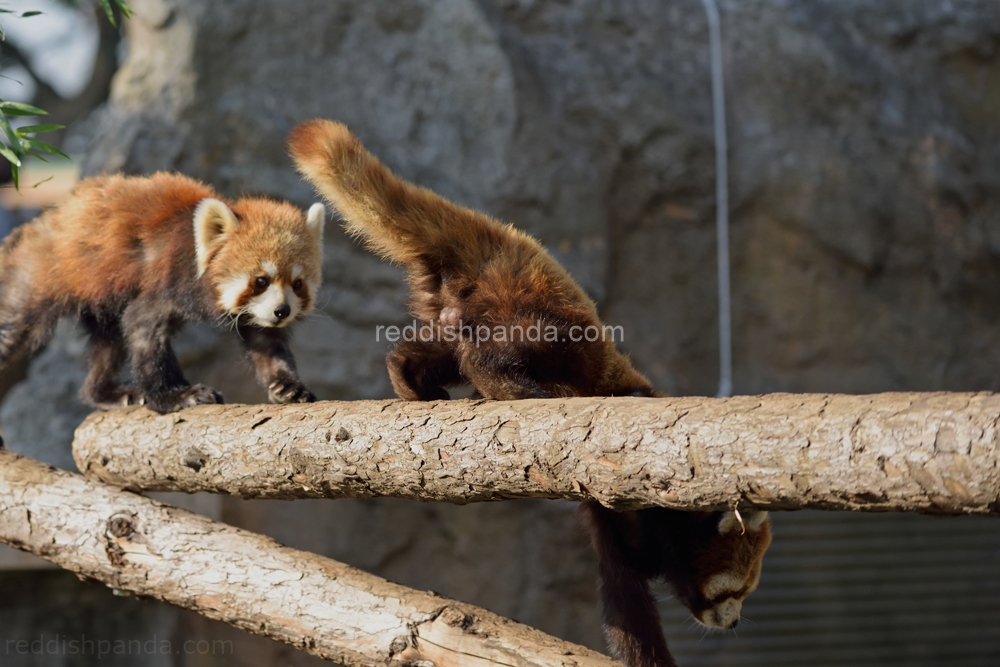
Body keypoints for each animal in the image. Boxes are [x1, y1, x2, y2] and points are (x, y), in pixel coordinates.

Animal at [0, 171, 322, 412]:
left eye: (297, 283)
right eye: (261, 281)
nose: (282, 311)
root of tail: (40, 222)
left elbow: (266, 344)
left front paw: (288, 387)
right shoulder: (165, 281)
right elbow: (144, 331)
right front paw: (177, 394)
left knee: (109, 344)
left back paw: (104, 393)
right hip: (39, 276)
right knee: (16, 330)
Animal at [290, 120, 772, 667]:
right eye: (736, 591)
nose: (733, 622)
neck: (663, 523)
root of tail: (501, 240)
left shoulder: (610, 519)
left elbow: (623, 597)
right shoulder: (623, 500)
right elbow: (631, 606)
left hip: (456, 307)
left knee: (438, 348)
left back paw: (412, 380)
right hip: (533, 311)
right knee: (496, 352)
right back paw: (511, 388)